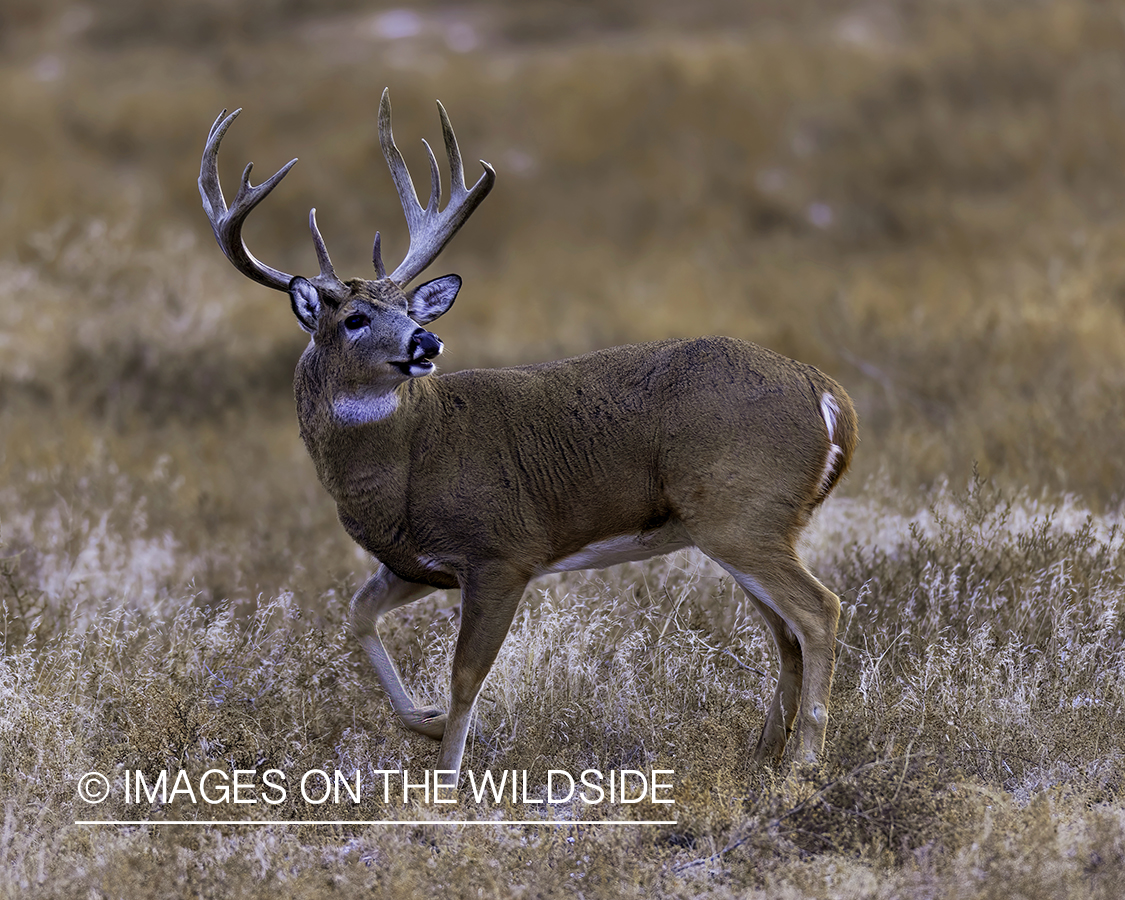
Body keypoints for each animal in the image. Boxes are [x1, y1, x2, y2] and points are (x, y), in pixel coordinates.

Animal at [200, 86, 850, 787]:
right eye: (353, 318)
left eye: (406, 307)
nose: (426, 341)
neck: (406, 459)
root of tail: (827, 395)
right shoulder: (416, 563)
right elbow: (356, 614)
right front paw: (425, 724)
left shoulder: (501, 550)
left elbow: (465, 676)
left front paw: (446, 782)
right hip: (742, 525)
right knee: (785, 631)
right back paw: (763, 754)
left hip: (741, 513)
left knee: (819, 610)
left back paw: (803, 764)